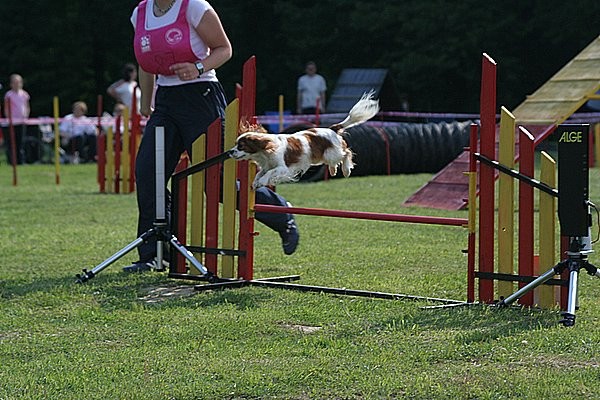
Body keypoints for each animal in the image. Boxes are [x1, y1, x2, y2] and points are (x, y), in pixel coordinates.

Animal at [230, 92, 380, 189]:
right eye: (236, 144)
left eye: (241, 146)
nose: (230, 152)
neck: (265, 151)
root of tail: (332, 129)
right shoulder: (267, 165)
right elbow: (260, 173)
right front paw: (256, 182)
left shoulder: (282, 167)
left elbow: (269, 173)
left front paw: (262, 182)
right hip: (321, 157)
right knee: (335, 161)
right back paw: (333, 170)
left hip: (332, 153)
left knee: (346, 153)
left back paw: (346, 170)